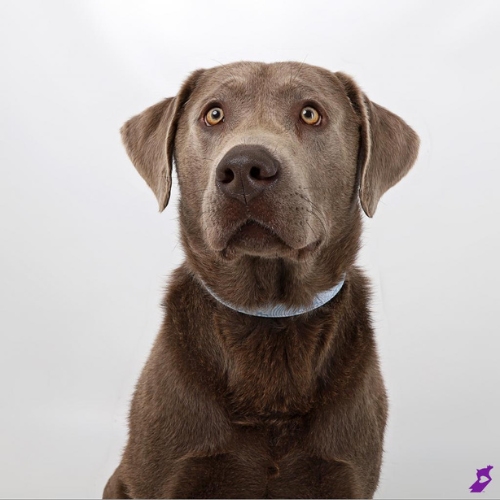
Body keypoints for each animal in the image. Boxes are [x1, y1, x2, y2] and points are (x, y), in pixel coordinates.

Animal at [103, 60, 420, 498]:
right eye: (213, 114)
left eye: (310, 113)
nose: (243, 169)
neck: (271, 315)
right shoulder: (165, 475)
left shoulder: (346, 473)